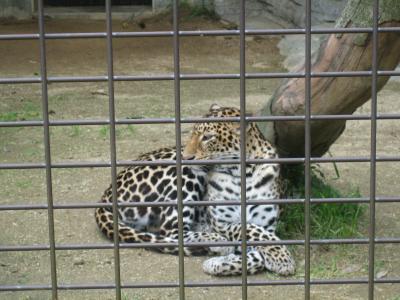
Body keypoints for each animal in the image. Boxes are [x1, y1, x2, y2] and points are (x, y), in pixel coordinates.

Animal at [183, 103, 296, 276]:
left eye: (207, 137)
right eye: (191, 135)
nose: (184, 157)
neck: (242, 173)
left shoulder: (267, 225)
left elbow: (258, 248)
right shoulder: (221, 222)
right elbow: (249, 229)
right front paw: (282, 257)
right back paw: (218, 243)